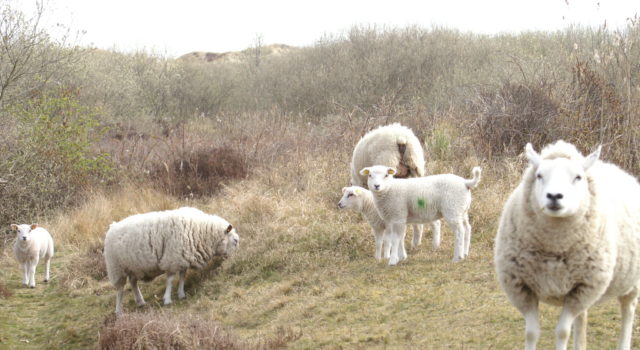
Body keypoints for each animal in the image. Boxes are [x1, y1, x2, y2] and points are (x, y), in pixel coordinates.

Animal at [105, 206, 240, 316]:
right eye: (235, 241)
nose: (235, 259)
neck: (201, 230)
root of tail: (112, 227)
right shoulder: (172, 259)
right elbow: (170, 280)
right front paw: (167, 299)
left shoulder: (182, 259)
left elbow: (182, 277)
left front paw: (181, 294)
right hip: (116, 268)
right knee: (120, 290)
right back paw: (119, 311)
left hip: (134, 267)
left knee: (133, 283)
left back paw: (140, 301)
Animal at [496, 141, 640, 350]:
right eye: (539, 175)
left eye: (578, 177)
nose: (554, 196)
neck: (554, 244)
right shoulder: (521, 287)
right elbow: (531, 333)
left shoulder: (583, 287)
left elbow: (562, 332)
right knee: (582, 318)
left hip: (631, 280)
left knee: (628, 308)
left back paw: (624, 342)